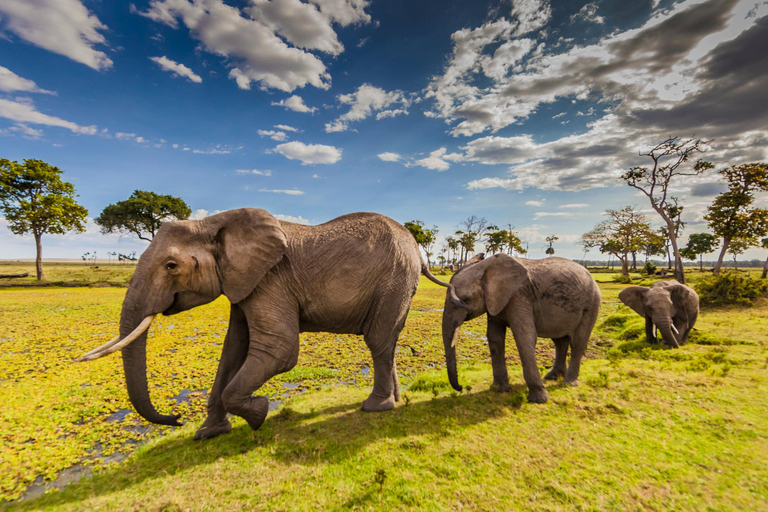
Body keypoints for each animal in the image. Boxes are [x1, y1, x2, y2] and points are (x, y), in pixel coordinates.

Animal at [77, 208, 450, 440]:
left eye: (171, 266)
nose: (176, 419)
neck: (212, 223)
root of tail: (416, 248)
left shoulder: (271, 279)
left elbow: (279, 349)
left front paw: (259, 414)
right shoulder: (243, 283)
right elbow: (232, 349)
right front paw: (207, 434)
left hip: (394, 279)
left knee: (378, 339)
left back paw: (375, 408)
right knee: (387, 341)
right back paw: (394, 402)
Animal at [438, 252, 600, 404]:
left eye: (466, 300)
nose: (461, 387)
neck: (486, 267)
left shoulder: (519, 295)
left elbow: (524, 336)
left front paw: (538, 400)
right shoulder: (496, 301)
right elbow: (494, 338)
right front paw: (499, 390)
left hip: (592, 303)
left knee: (578, 342)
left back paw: (568, 383)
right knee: (559, 341)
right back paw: (553, 377)